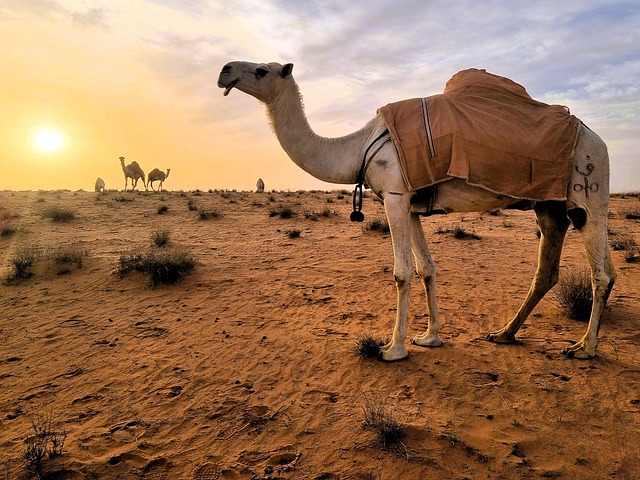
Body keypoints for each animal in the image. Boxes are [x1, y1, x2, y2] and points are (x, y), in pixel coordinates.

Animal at [217, 61, 615, 361]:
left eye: (261, 70)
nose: (224, 70)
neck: (357, 146)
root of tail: (598, 137)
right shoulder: (411, 205)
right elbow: (427, 268)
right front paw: (430, 337)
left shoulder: (394, 195)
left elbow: (402, 273)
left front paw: (393, 348)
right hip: (548, 205)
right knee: (549, 269)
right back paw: (503, 333)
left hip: (586, 191)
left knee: (601, 273)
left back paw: (584, 347)